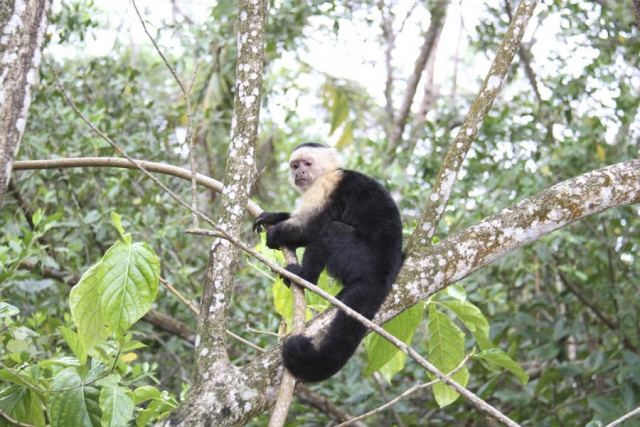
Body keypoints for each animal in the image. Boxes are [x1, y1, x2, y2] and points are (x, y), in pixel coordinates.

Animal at [252, 142, 402, 382]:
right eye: (295, 165)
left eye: (307, 163)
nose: (299, 173)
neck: (328, 172)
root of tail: (383, 273)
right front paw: (273, 216)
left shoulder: (327, 185)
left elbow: (311, 228)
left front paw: (275, 234)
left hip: (358, 256)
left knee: (329, 231)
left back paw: (304, 278)